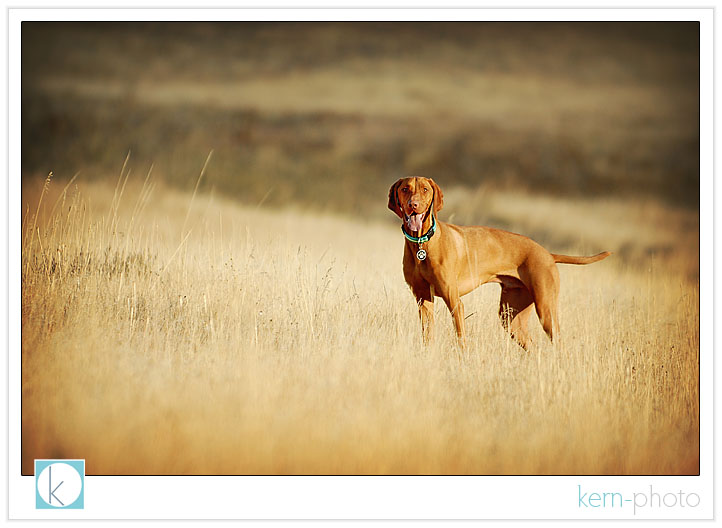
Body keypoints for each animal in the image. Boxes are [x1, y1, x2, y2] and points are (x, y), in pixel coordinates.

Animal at [386, 177, 612, 350]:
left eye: (425, 189)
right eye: (405, 189)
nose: (413, 205)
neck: (422, 243)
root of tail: (547, 253)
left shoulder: (455, 301)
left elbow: (461, 339)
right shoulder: (423, 299)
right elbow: (427, 337)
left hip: (546, 309)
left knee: (558, 343)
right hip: (510, 318)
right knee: (532, 346)